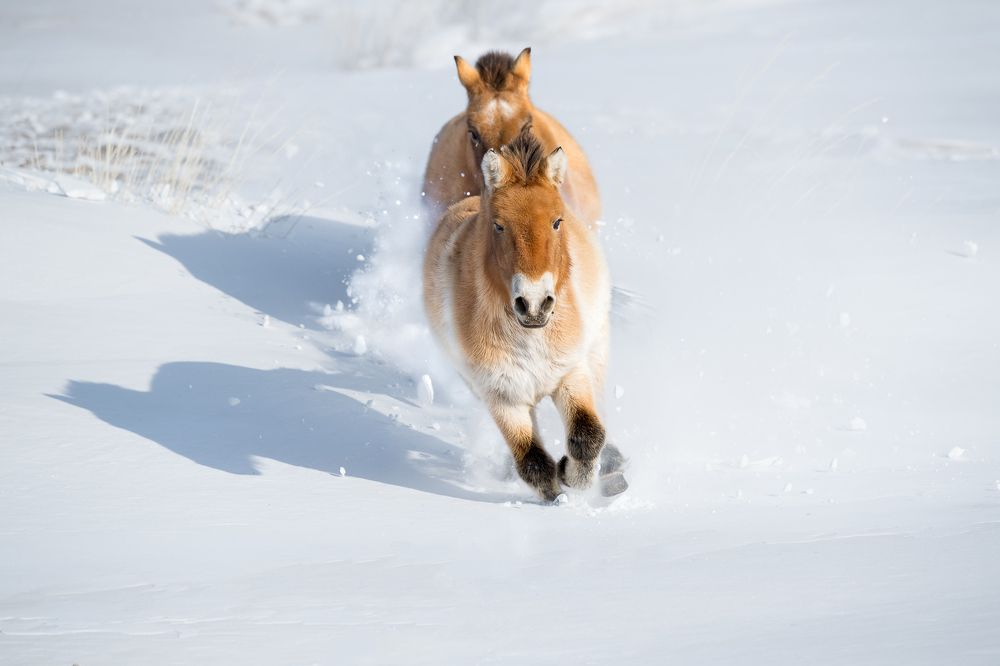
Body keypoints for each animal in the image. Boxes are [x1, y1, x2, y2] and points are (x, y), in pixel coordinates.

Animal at [423, 133, 627, 501]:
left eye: (557, 221)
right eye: (499, 225)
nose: (533, 304)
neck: (530, 337)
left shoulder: (570, 375)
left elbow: (587, 436)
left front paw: (575, 477)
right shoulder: (502, 395)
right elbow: (532, 460)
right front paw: (557, 496)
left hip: (595, 352)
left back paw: (614, 469)